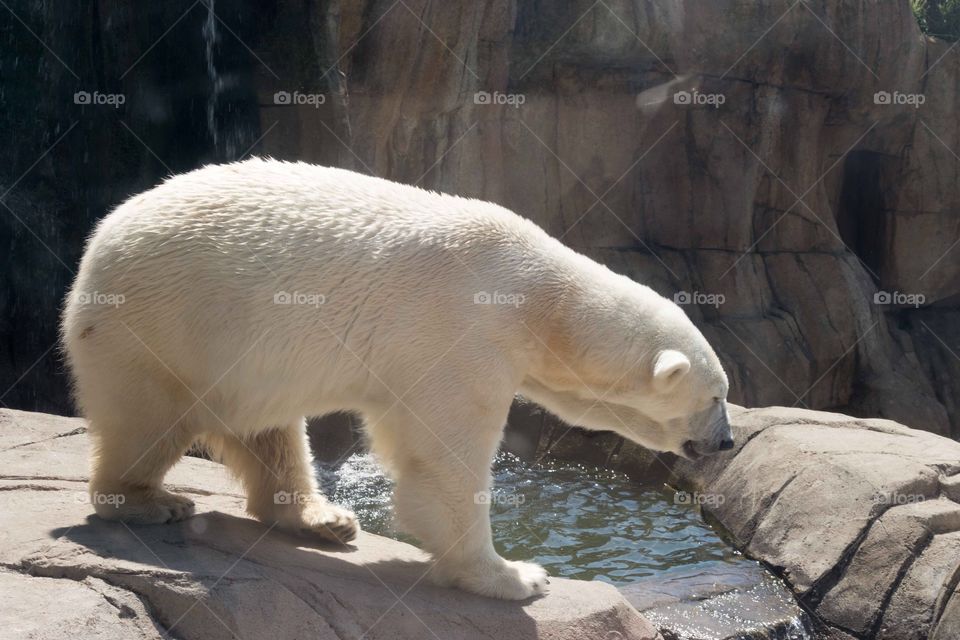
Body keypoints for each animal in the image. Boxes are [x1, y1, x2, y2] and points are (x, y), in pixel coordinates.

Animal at [60, 159, 732, 600]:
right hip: (163, 324)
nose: (725, 441)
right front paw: (516, 576)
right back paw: (151, 501)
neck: (542, 301)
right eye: (716, 395)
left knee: (272, 432)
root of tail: (99, 239)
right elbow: (446, 458)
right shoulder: (461, 334)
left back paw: (321, 518)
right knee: (149, 417)